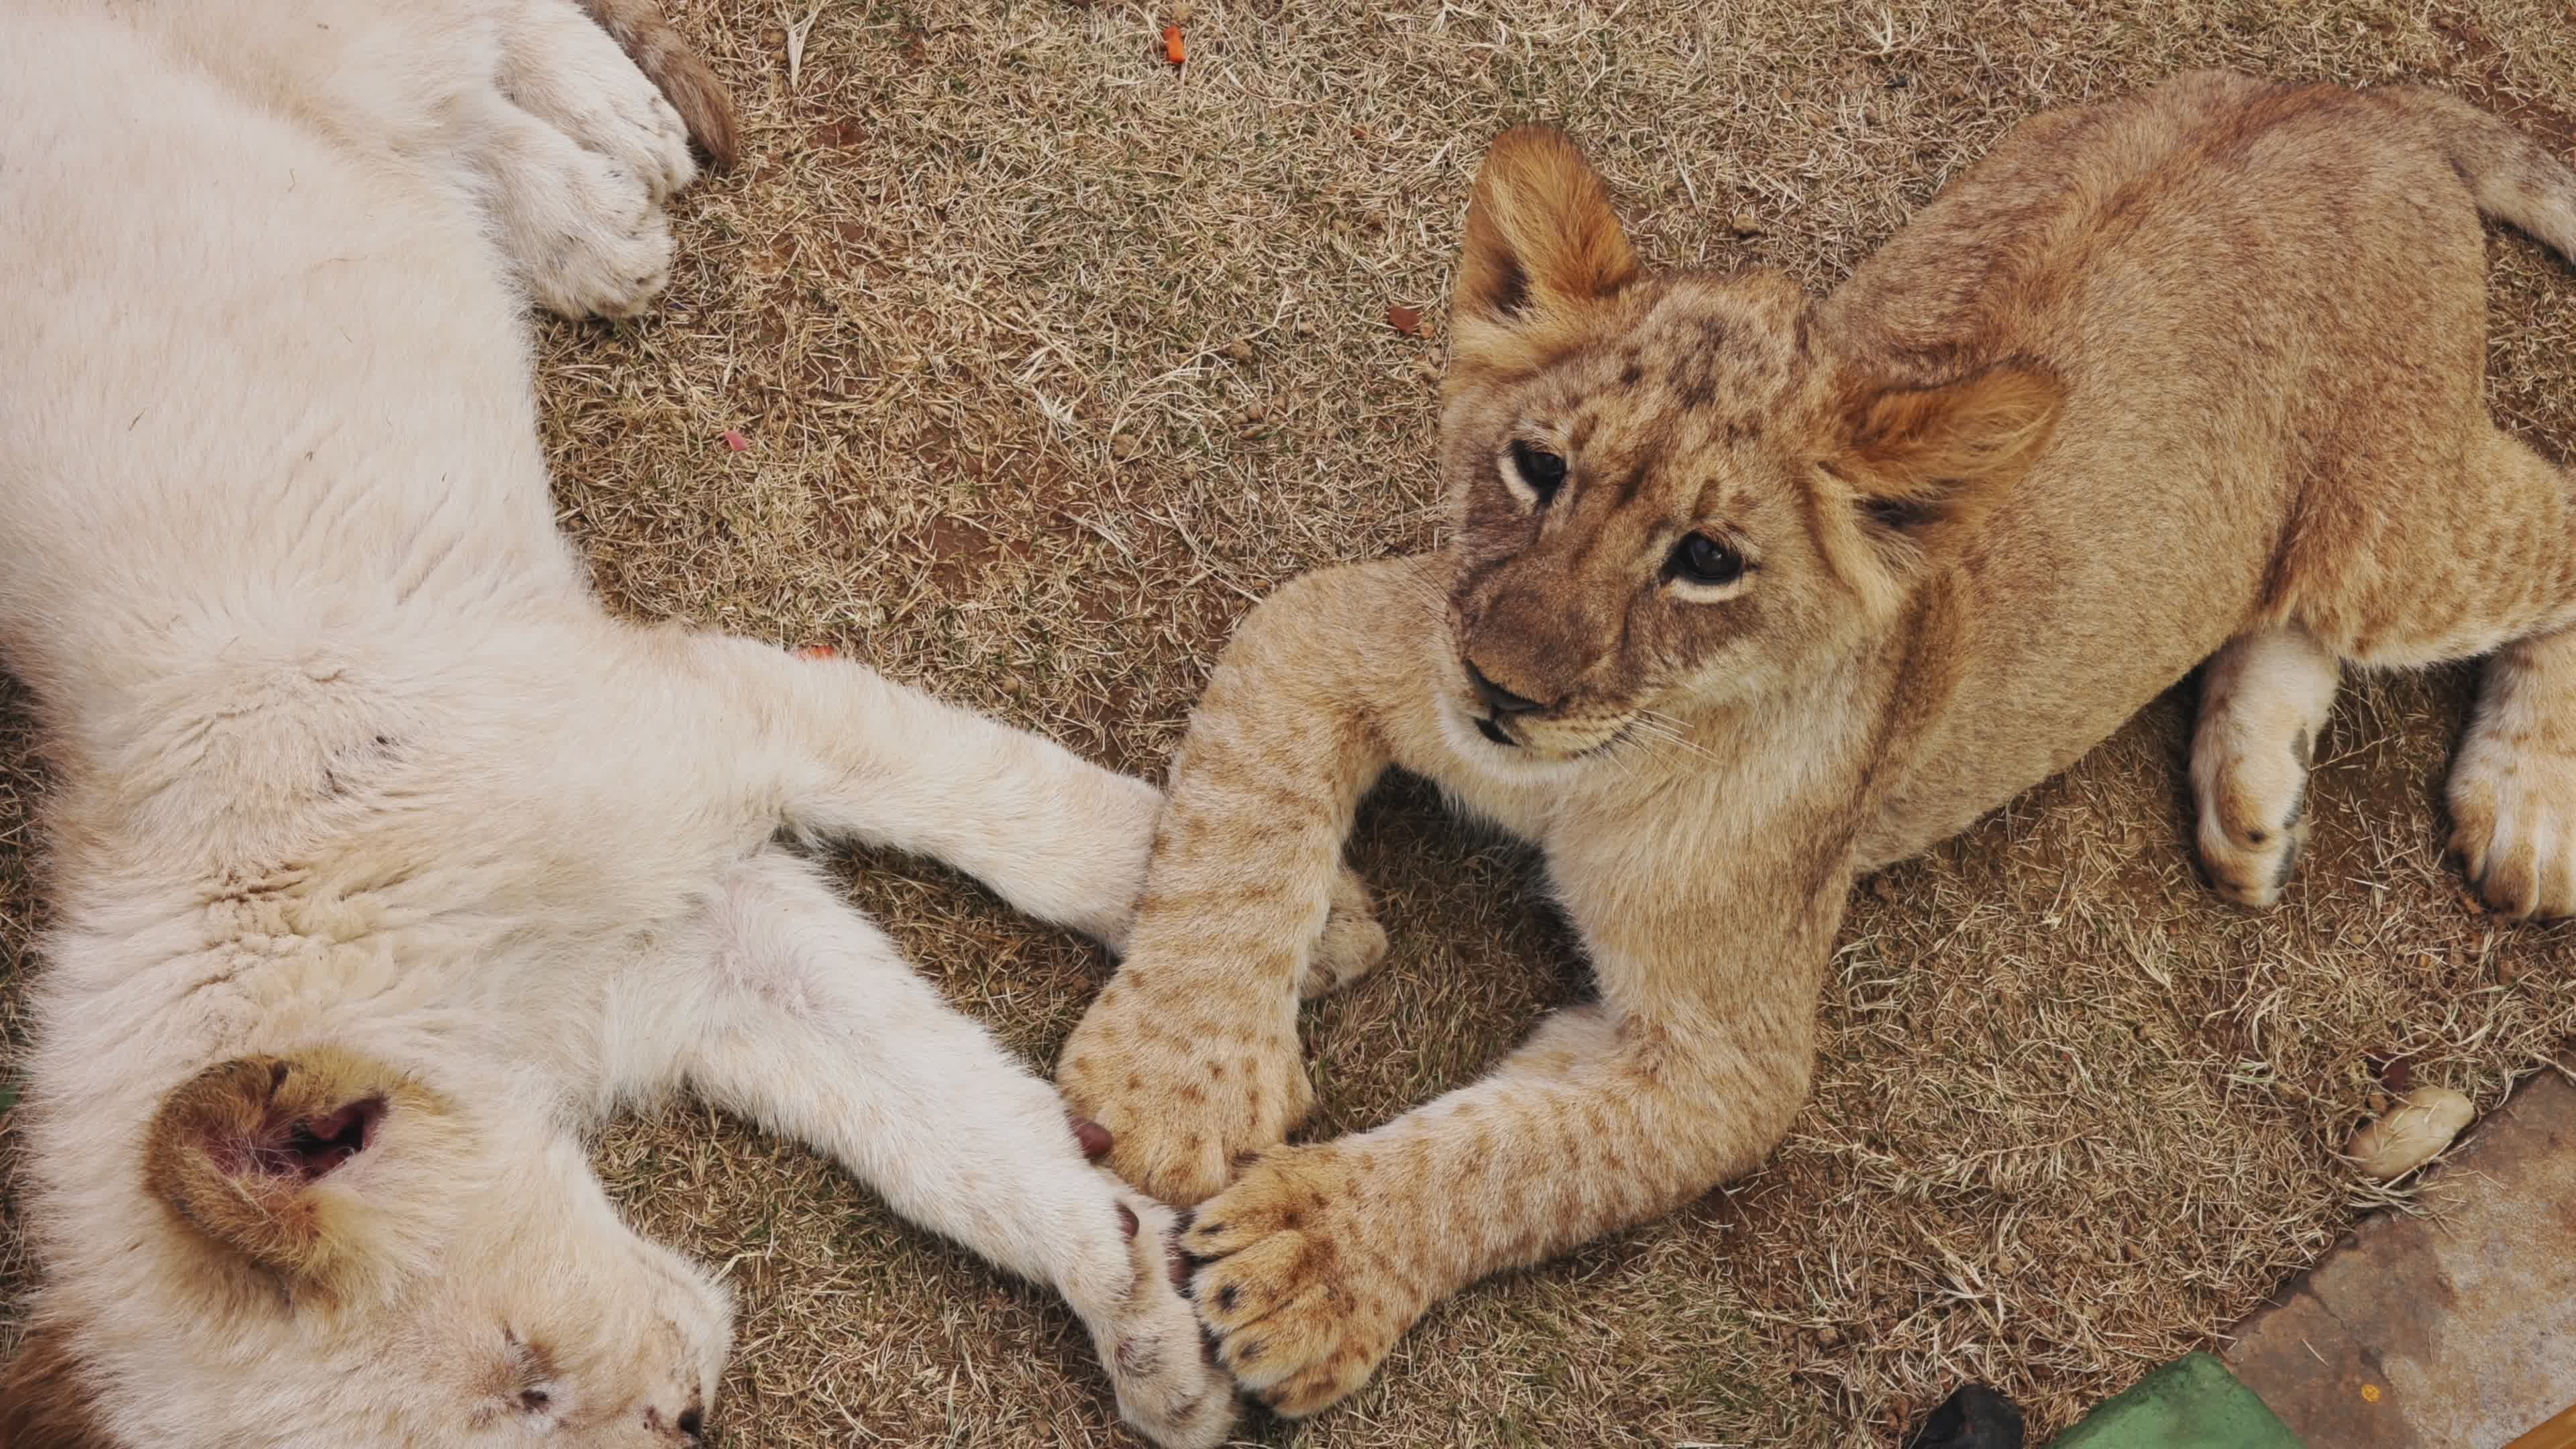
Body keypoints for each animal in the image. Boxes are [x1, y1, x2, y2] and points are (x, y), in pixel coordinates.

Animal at [0, 1, 1317, 1443]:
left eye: (522, 1368)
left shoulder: (697, 709)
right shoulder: (706, 958)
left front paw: (1252, 911)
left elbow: (1006, 810)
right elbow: (961, 1141)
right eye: (528, 1404)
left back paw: (600, 168)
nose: (689, 1416)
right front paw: (1143, 1311)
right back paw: (580, 195)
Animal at [1057, 71, 2576, 1416]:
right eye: (1537, 467)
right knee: (2290, 610)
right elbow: (1236, 839)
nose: (1500, 693)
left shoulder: (1731, 1062)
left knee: (2547, 518)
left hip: (2391, 527)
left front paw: (1306, 1264)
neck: (1604, 757)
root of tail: (2355, 99)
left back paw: (2520, 809)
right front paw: (1171, 1088)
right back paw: (2252, 803)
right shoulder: (1350, 629)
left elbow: (1514, 1163)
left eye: (1708, 562)